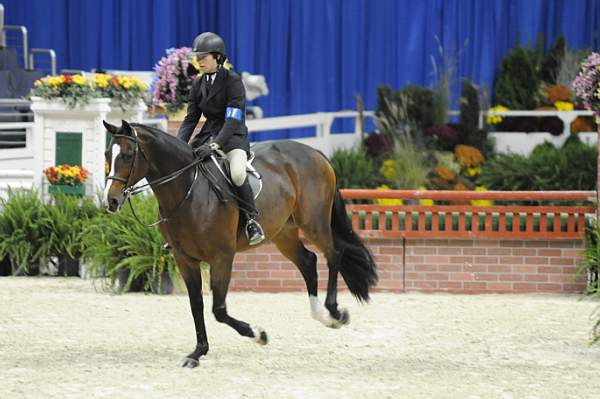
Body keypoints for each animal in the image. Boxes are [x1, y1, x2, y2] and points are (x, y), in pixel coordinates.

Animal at [101, 119, 378, 368]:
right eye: (107, 154)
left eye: (127, 155)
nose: (111, 201)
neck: (187, 190)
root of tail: (316, 153)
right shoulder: (185, 260)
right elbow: (196, 305)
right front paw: (197, 353)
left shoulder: (222, 257)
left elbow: (219, 309)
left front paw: (259, 335)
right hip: (283, 233)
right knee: (309, 262)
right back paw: (321, 315)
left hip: (314, 223)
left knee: (334, 254)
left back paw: (334, 313)